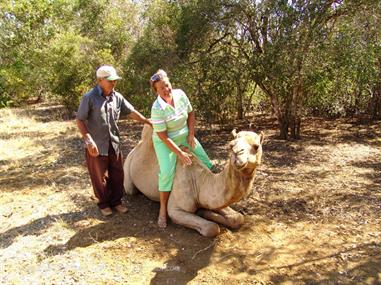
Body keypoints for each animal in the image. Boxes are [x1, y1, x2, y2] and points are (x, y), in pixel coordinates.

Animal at [123, 125, 262, 236]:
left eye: (256, 146)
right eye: (231, 145)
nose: (238, 157)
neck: (199, 183)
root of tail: (136, 147)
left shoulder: (211, 200)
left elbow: (238, 218)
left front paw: (204, 211)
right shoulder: (176, 210)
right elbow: (212, 228)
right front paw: (203, 214)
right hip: (128, 172)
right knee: (131, 190)